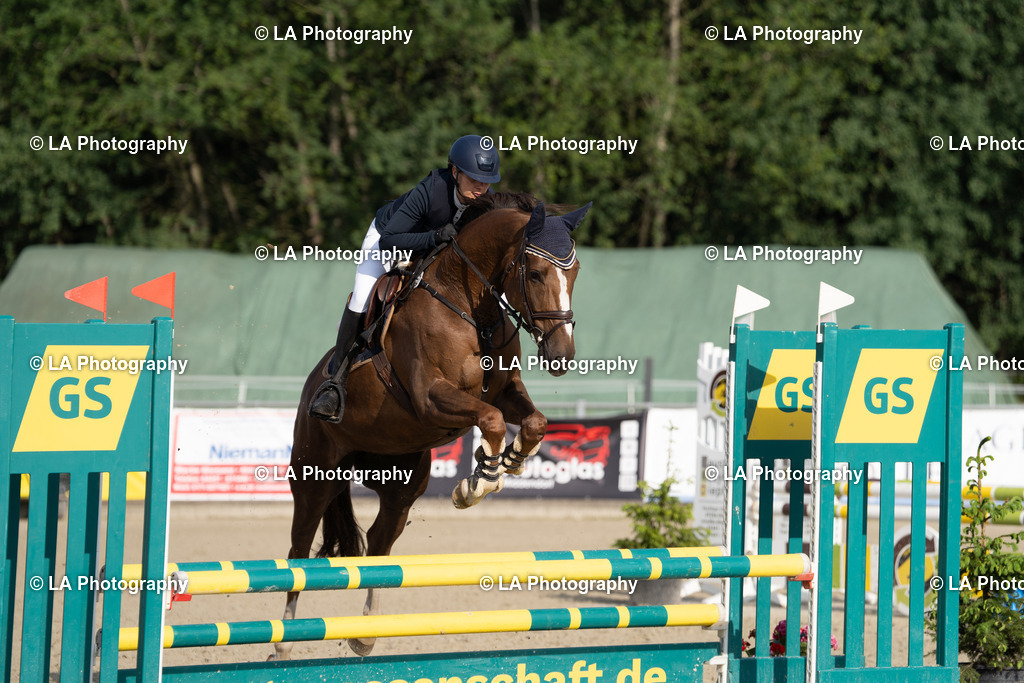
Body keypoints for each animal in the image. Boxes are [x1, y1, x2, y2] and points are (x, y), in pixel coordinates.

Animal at [273, 193, 591, 660]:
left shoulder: (503, 390)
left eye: (575, 270)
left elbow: (534, 421)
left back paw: (365, 634)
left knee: (380, 545)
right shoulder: (431, 398)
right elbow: (491, 420)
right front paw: (476, 484)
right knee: (299, 549)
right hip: (315, 475)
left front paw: (508, 462)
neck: (470, 305)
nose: (561, 355)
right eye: (534, 273)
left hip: (401, 482)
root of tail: (312, 385)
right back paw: (283, 643)